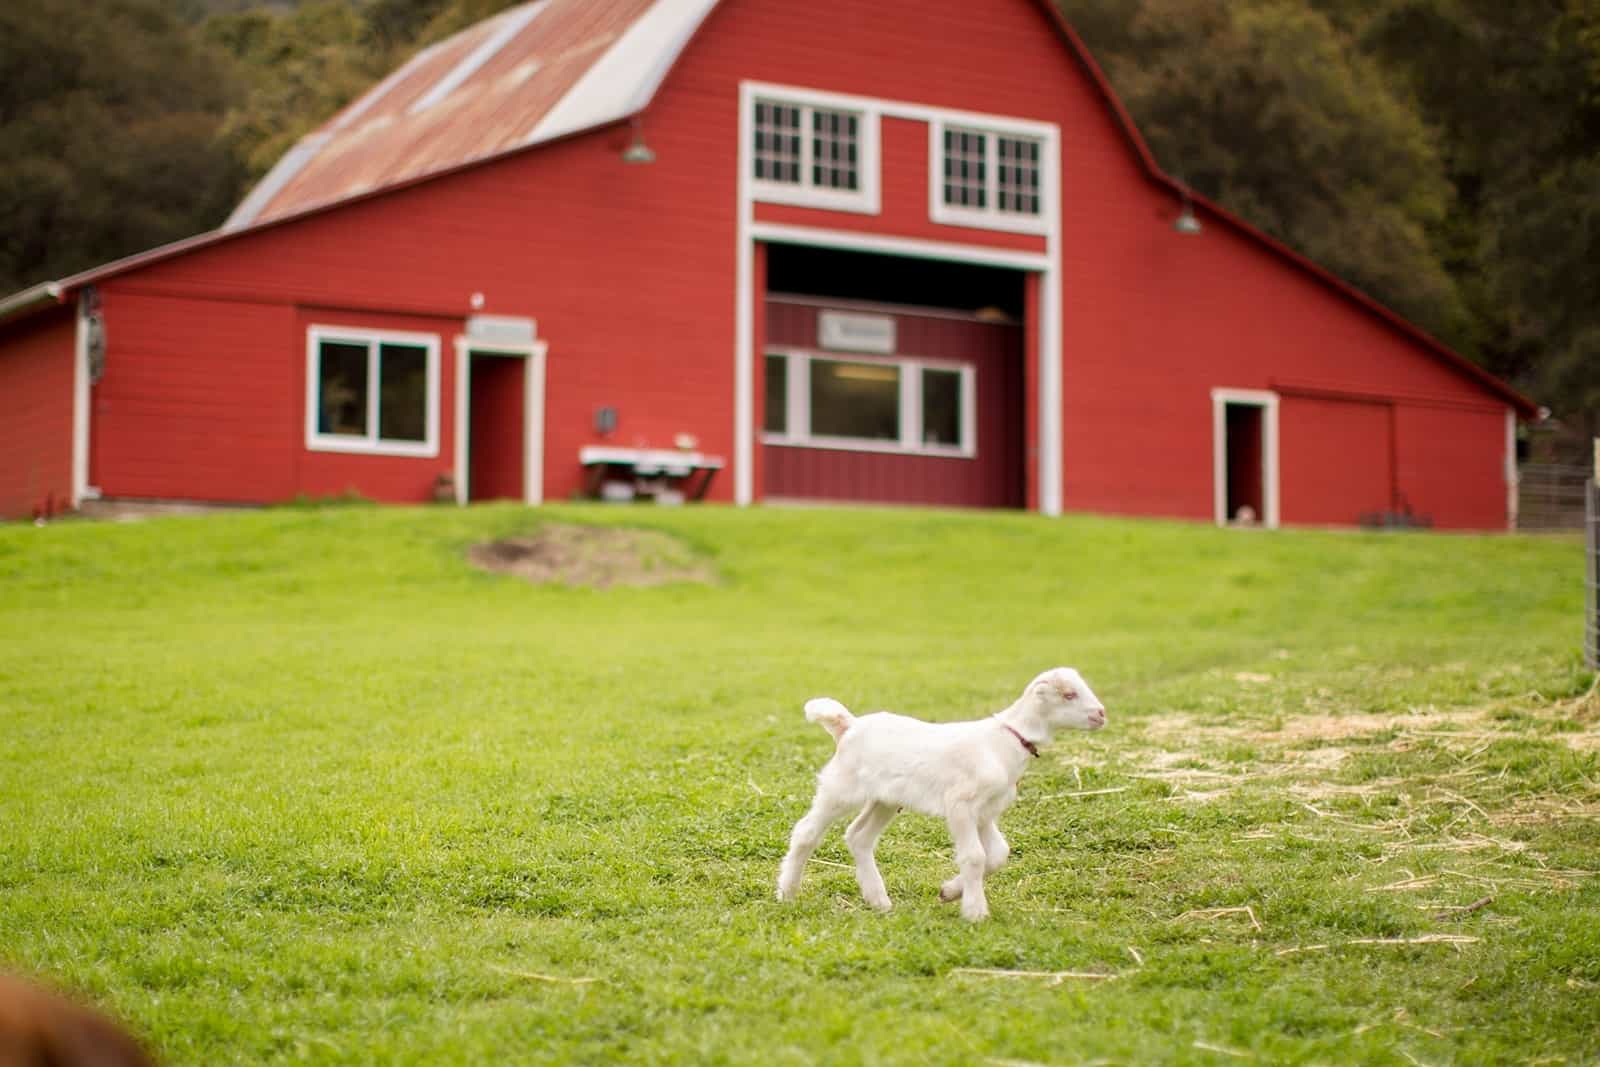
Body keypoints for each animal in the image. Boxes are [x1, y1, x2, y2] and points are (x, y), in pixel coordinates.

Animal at [777, 671, 1107, 921]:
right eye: (1069, 695)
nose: (1101, 714)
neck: (1006, 741)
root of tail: (849, 725)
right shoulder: (961, 804)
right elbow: (975, 856)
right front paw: (975, 911)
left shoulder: (985, 812)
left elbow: (998, 854)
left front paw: (949, 892)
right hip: (841, 787)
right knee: (806, 831)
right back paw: (787, 892)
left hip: (885, 799)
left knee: (859, 836)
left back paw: (878, 900)